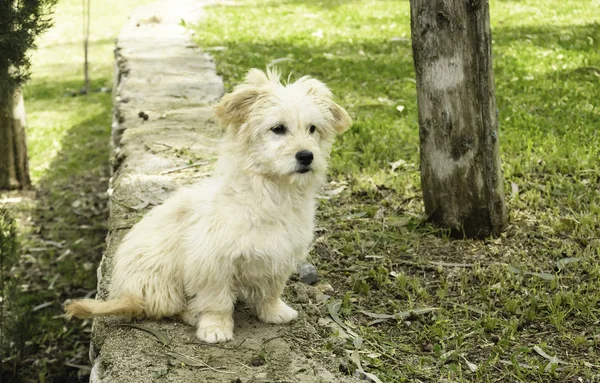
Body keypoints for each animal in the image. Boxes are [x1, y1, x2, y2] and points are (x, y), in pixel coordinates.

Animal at [62, 69, 352, 344]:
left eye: (313, 129)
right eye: (278, 128)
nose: (307, 156)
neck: (271, 194)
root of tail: (126, 293)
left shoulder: (279, 257)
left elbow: (271, 291)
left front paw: (274, 312)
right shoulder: (212, 263)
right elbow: (217, 301)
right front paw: (215, 327)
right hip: (162, 278)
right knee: (165, 307)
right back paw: (192, 313)